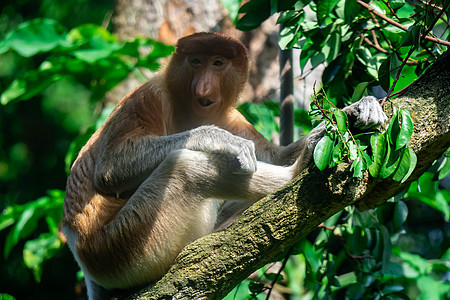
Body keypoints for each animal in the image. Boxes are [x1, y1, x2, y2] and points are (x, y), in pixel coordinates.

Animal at [62, 31, 386, 298]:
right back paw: (299, 168)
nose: (204, 88)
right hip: (122, 247)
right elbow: (110, 170)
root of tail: (79, 250)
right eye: (196, 62)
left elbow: (275, 155)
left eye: (217, 63)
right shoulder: (148, 97)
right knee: (184, 168)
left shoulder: (232, 118)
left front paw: (358, 109)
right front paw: (218, 139)